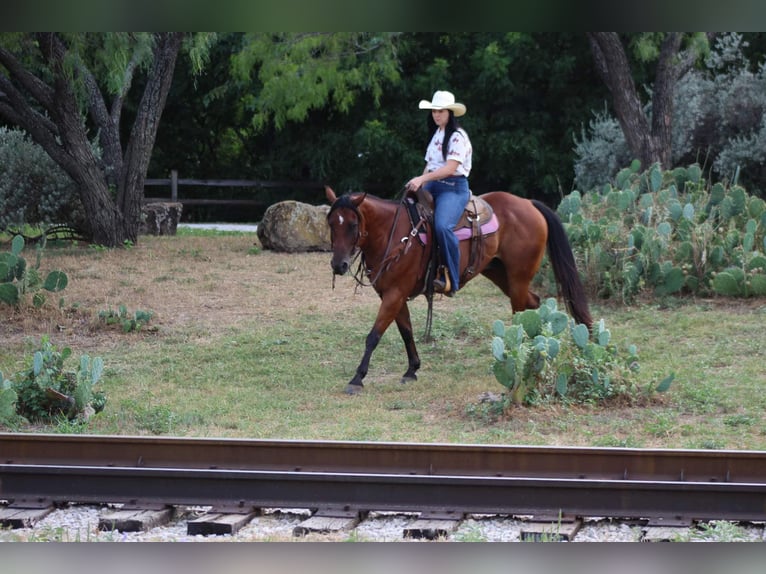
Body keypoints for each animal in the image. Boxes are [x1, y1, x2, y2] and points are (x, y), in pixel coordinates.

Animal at [325, 185, 592, 395]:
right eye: (331, 224)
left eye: (352, 224)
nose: (339, 265)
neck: (395, 234)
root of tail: (528, 203)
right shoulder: (393, 295)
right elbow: (406, 332)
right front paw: (412, 369)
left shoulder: (395, 294)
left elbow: (373, 336)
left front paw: (357, 378)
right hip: (500, 274)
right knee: (534, 304)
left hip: (518, 278)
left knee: (520, 315)